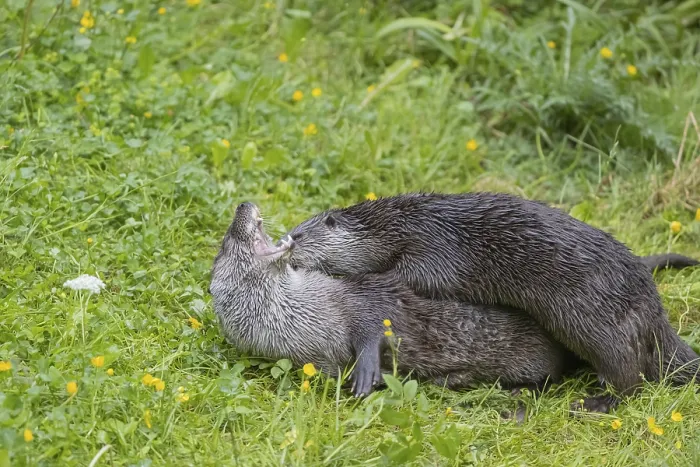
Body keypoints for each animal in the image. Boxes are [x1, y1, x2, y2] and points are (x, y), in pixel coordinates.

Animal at [209, 202, 583, 398]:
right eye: (226, 244)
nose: (243, 204)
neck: (315, 313)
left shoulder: (361, 298)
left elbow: (375, 322)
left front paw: (367, 372)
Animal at [285, 192, 699, 411]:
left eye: (297, 236)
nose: (285, 250)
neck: (402, 226)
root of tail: (652, 305)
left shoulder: (437, 249)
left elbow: (415, 276)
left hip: (601, 326)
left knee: (631, 378)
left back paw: (596, 403)